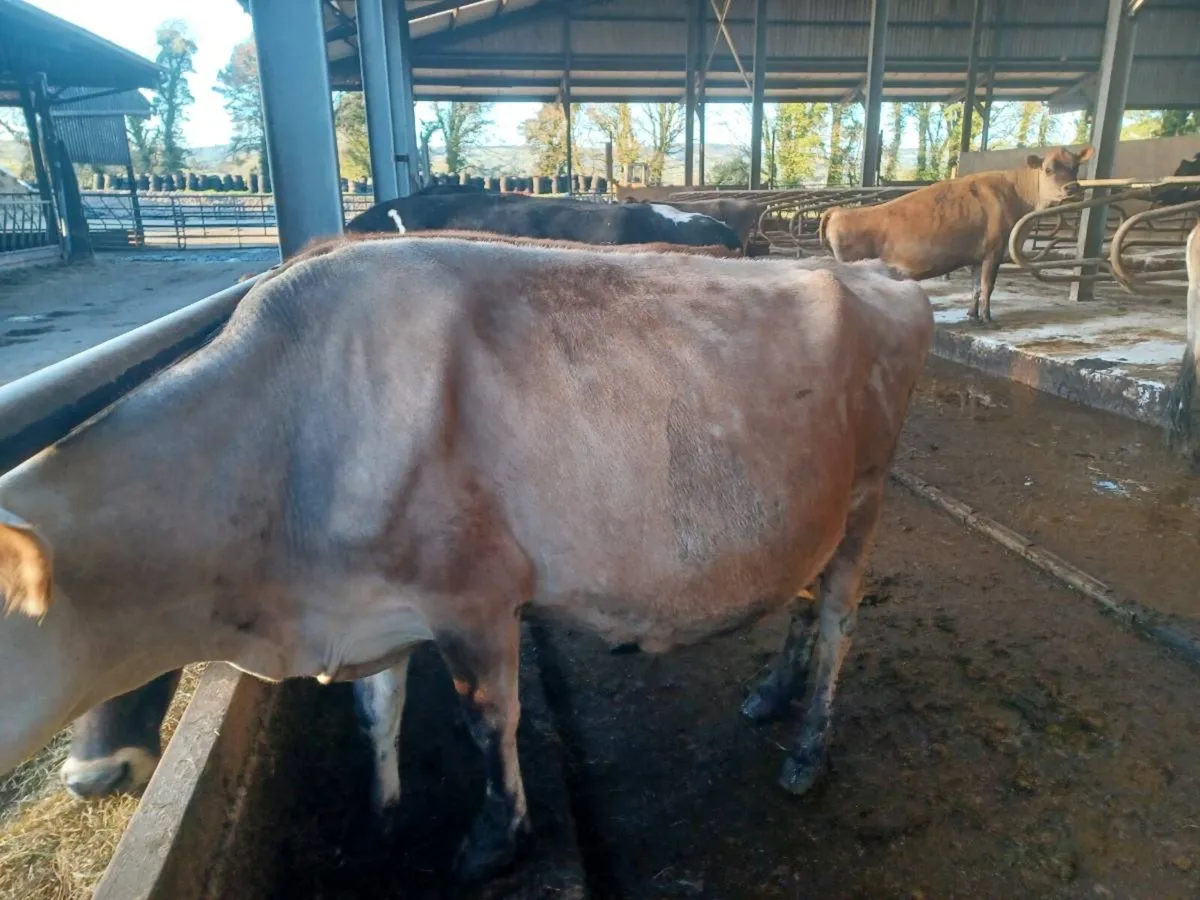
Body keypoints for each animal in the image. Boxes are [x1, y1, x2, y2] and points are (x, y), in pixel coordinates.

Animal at [0, 237, 932, 883]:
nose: (87, 782)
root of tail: (876, 274)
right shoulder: (376, 604)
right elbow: (376, 715)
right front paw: (381, 822)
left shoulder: (475, 597)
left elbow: (491, 720)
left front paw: (493, 843)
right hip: (807, 512)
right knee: (804, 597)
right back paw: (770, 695)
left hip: (867, 496)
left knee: (840, 618)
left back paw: (807, 748)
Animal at [819, 145, 1095, 324]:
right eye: (1048, 169)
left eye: (1075, 167)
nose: (1072, 188)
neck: (1017, 195)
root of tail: (839, 212)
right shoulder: (993, 252)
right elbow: (987, 286)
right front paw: (988, 318)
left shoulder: (977, 257)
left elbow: (975, 288)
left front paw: (972, 315)